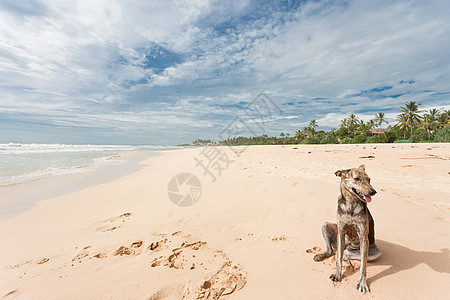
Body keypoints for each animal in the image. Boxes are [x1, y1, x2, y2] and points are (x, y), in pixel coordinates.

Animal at [314, 164, 382, 292]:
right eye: (357, 179)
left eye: (369, 180)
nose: (373, 192)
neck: (351, 203)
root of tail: (348, 245)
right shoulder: (341, 232)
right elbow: (338, 259)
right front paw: (337, 274)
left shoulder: (363, 236)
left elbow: (363, 266)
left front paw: (362, 283)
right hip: (326, 226)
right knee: (333, 252)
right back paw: (321, 256)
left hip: (373, 252)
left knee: (347, 255)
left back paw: (348, 262)